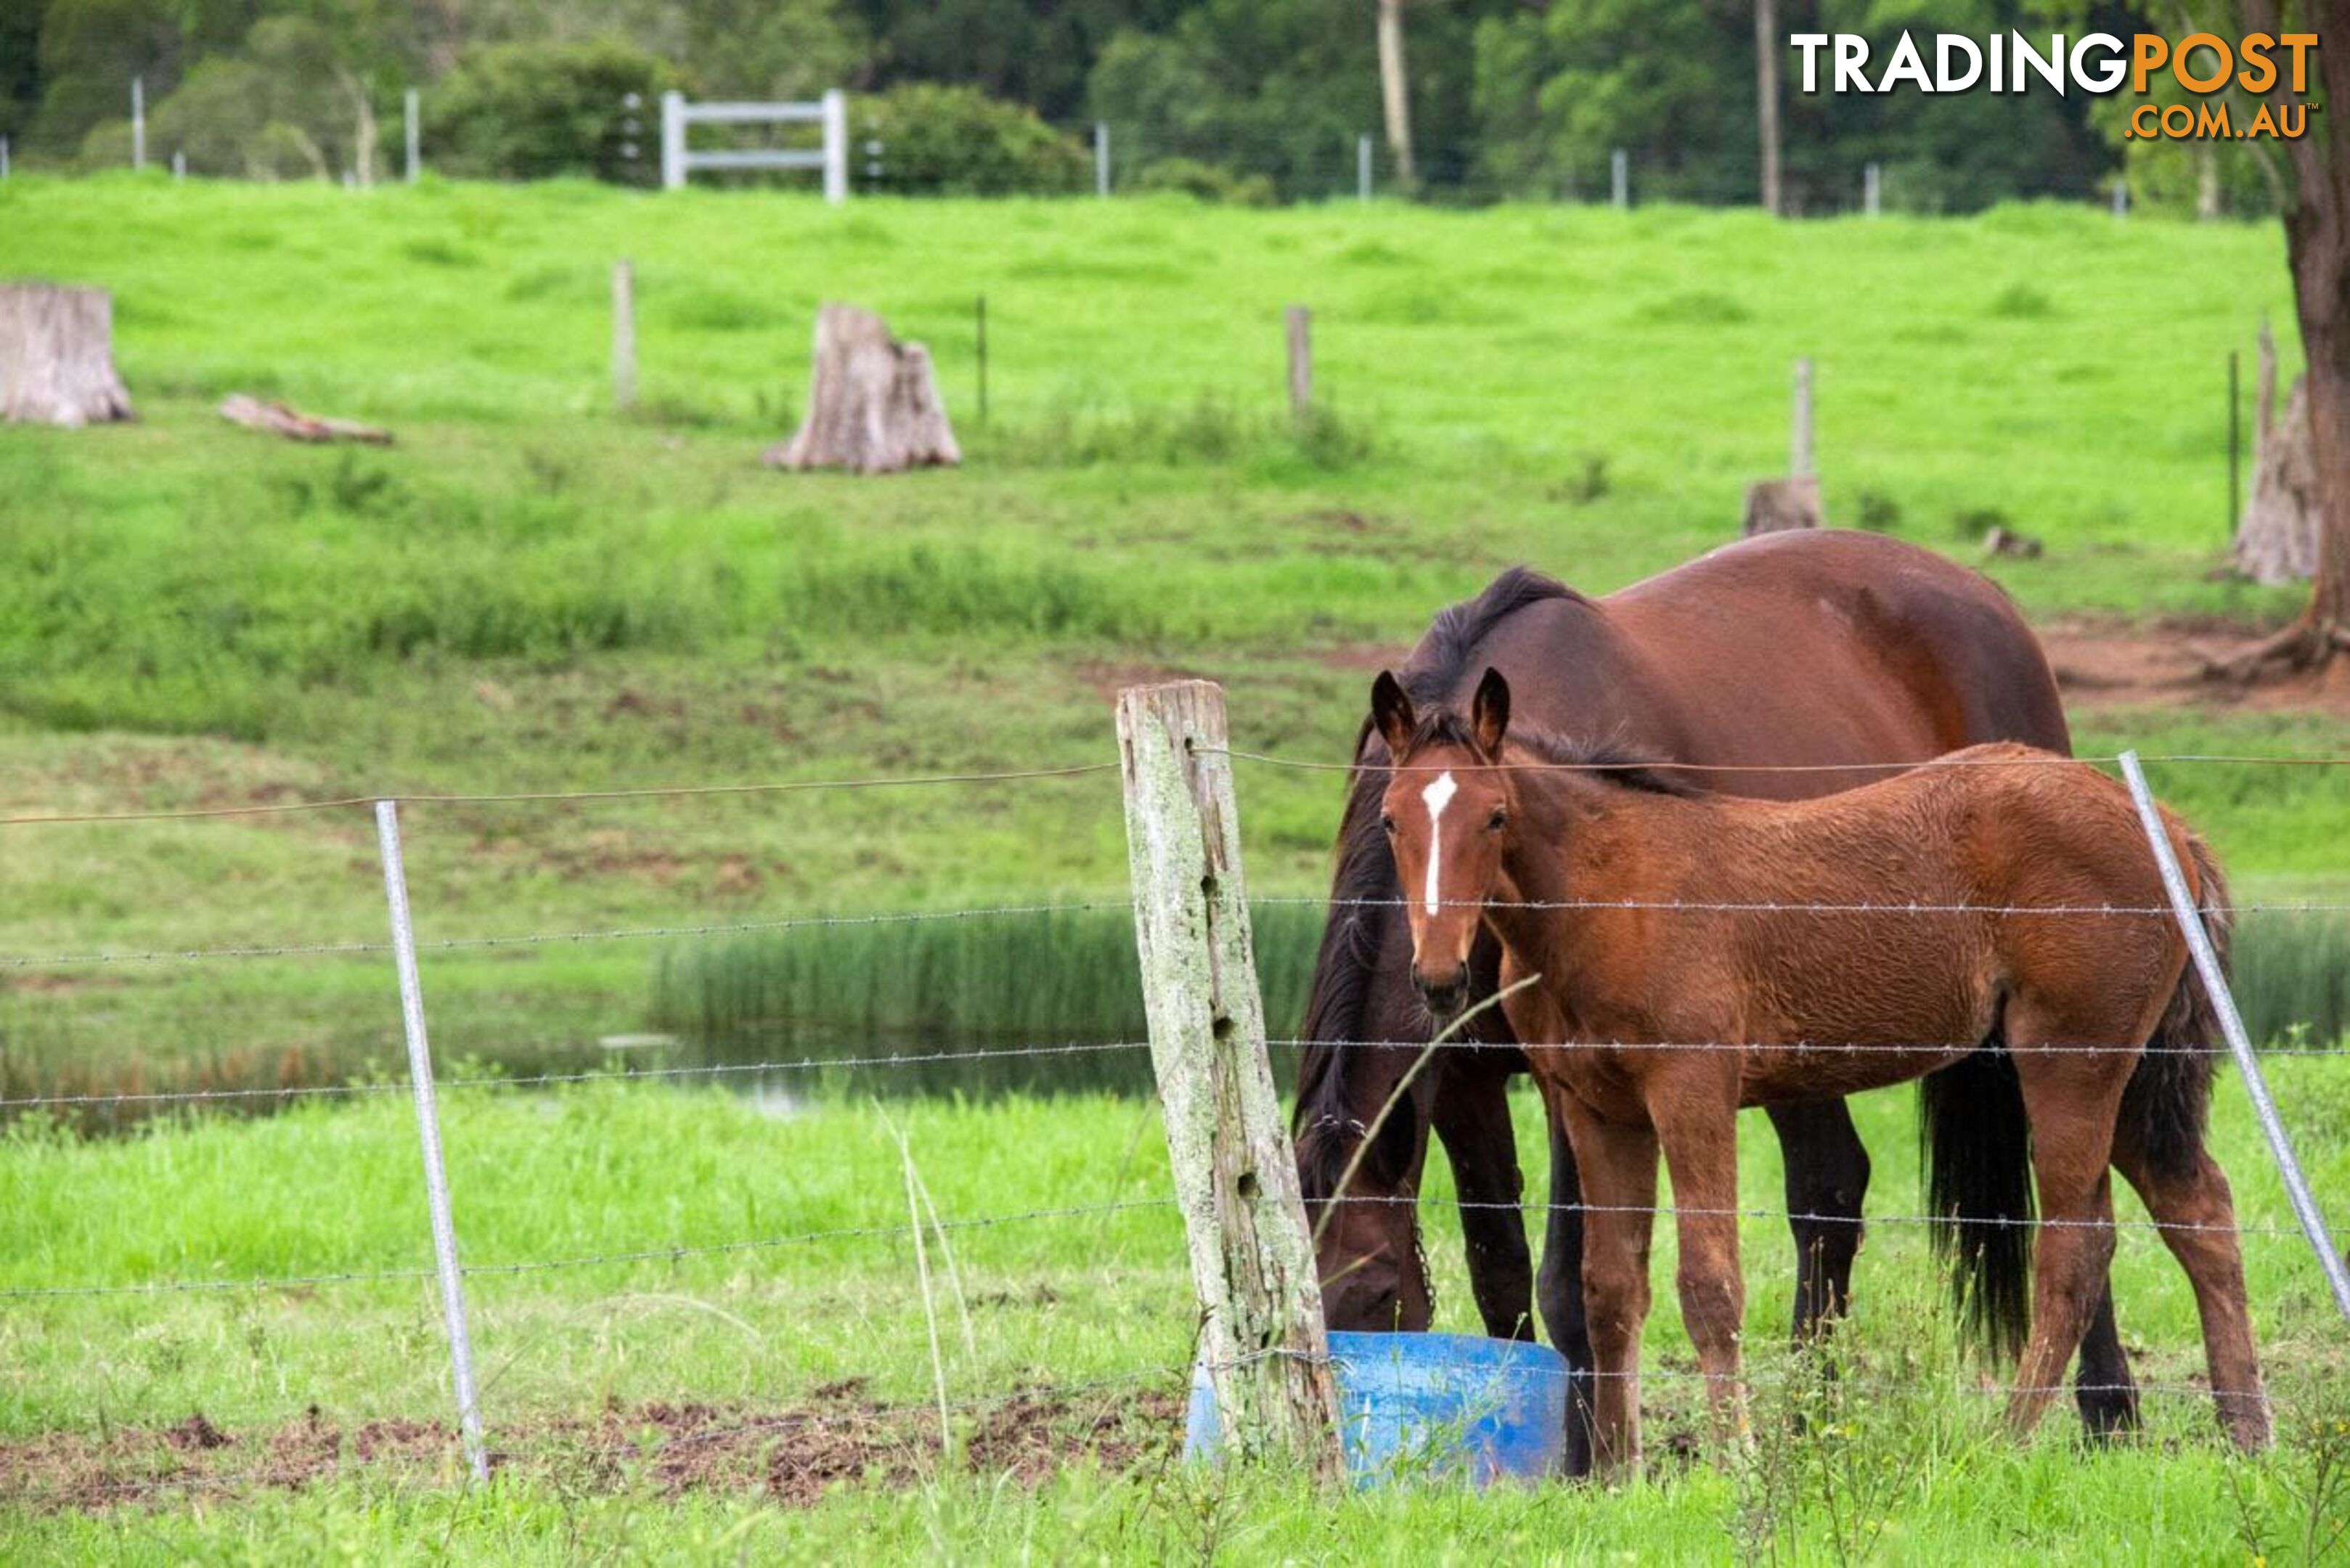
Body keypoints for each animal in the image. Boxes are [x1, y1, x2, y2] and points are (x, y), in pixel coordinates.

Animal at [1372, 667, 2265, 1476]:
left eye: (1494, 816)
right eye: (1389, 822)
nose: (1439, 977)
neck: (1612, 893)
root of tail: (2165, 827)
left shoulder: (1691, 1089)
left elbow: (1709, 1286)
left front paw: (1736, 1462)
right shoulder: (1599, 1108)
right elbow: (1611, 1290)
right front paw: (1621, 1476)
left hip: (2069, 1064)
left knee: (2079, 1248)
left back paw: (2004, 1443)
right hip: (2127, 1075)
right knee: (2200, 1211)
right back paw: (2247, 1436)